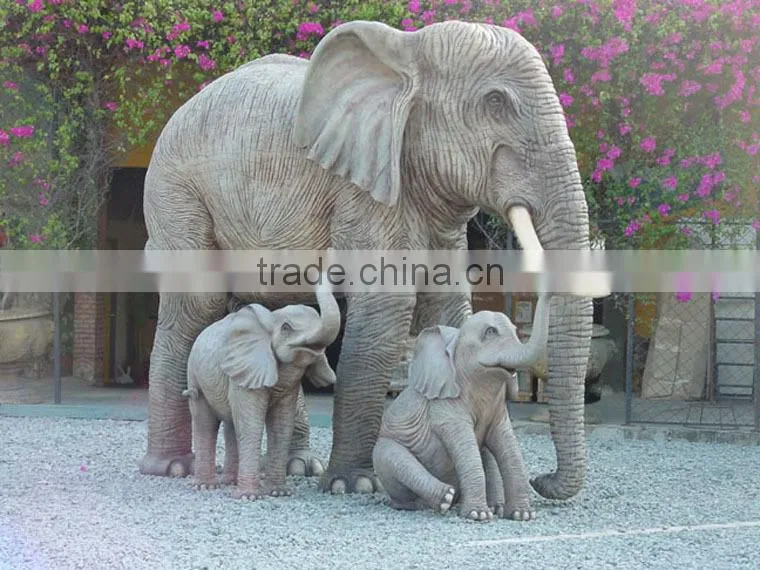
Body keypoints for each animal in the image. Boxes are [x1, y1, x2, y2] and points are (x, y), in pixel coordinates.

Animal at [181, 283, 340, 499]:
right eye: (286, 328)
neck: (271, 318)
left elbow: (281, 426)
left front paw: (278, 493)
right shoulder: (244, 369)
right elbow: (252, 425)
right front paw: (249, 497)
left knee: (231, 426)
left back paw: (229, 482)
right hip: (195, 375)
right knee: (205, 423)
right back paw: (206, 486)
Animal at [372, 294, 551, 521]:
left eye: (514, 329)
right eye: (490, 332)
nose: (549, 293)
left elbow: (507, 446)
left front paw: (523, 515)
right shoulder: (445, 409)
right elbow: (467, 448)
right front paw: (478, 515)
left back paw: (495, 507)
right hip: (385, 453)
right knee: (393, 457)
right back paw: (443, 499)